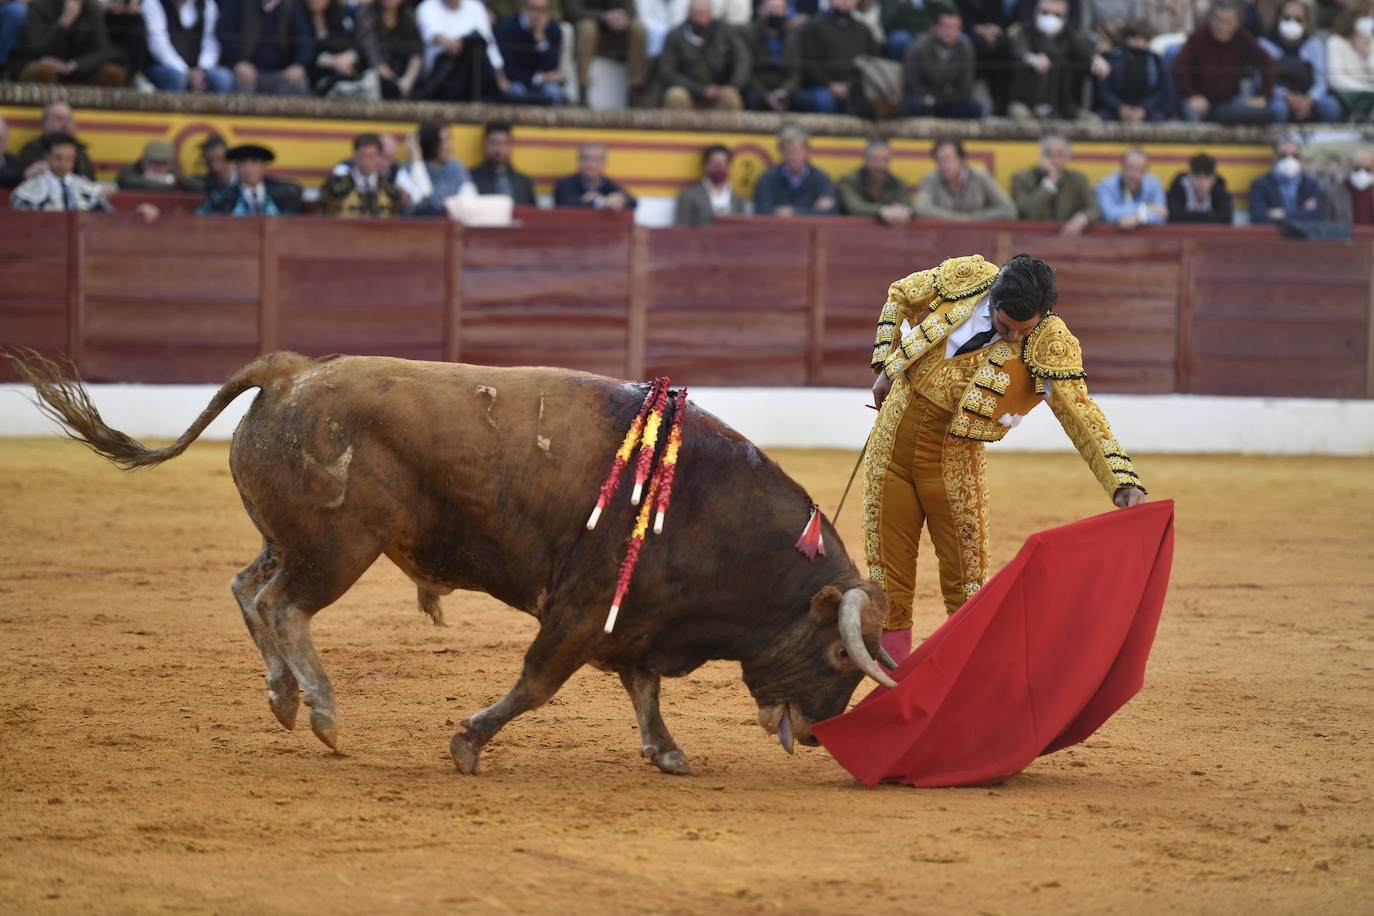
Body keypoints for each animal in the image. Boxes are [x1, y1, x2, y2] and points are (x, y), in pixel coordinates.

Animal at [13, 351, 901, 774]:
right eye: (838, 656)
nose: (819, 737)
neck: (707, 506)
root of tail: (291, 371)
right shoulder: (584, 610)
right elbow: (539, 684)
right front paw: (468, 743)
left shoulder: (633, 617)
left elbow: (642, 689)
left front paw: (668, 753)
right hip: (339, 549)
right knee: (282, 606)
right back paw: (321, 709)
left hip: (292, 538)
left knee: (247, 586)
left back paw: (284, 697)